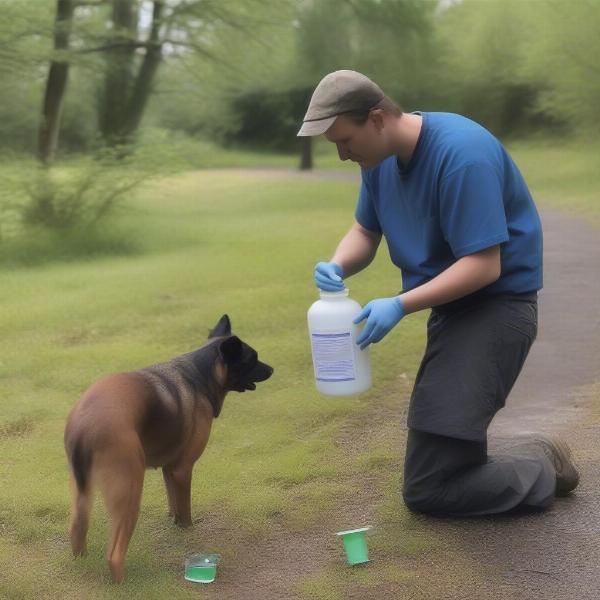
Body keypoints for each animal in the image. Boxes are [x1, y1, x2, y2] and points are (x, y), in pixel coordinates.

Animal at [63, 316, 274, 584]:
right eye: (252, 358)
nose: (272, 369)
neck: (200, 376)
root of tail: (85, 427)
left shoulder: (170, 469)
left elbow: (173, 500)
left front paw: (173, 520)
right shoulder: (183, 469)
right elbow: (185, 509)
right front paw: (186, 529)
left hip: (82, 496)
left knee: (77, 529)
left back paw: (82, 562)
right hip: (130, 491)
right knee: (114, 554)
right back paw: (124, 583)